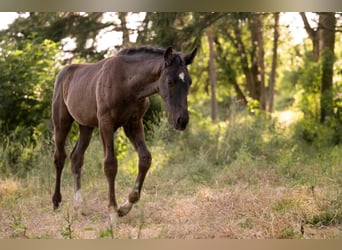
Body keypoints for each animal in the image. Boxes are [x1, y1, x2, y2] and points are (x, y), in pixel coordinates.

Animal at [49, 46, 196, 218]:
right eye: (170, 81)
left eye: (189, 82)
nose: (182, 121)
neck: (127, 82)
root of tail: (62, 73)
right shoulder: (106, 124)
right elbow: (110, 164)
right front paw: (112, 209)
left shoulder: (133, 123)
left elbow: (145, 158)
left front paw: (125, 207)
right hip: (61, 123)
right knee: (60, 158)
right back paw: (56, 202)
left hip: (86, 126)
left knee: (76, 158)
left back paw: (79, 205)